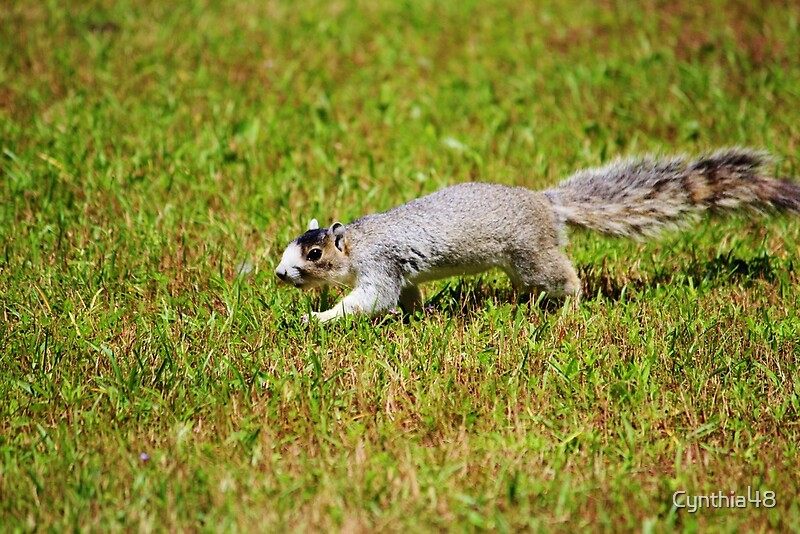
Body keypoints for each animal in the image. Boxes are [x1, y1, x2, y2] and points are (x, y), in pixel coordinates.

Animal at [276, 148, 800, 322]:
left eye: (315, 253)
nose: (280, 274)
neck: (359, 241)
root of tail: (547, 204)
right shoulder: (400, 271)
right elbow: (406, 297)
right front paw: (413, 318)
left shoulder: (381, 263)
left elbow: (368, 300)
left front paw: (317, 318)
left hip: (531, 255)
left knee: (563, 276)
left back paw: (568, 306)